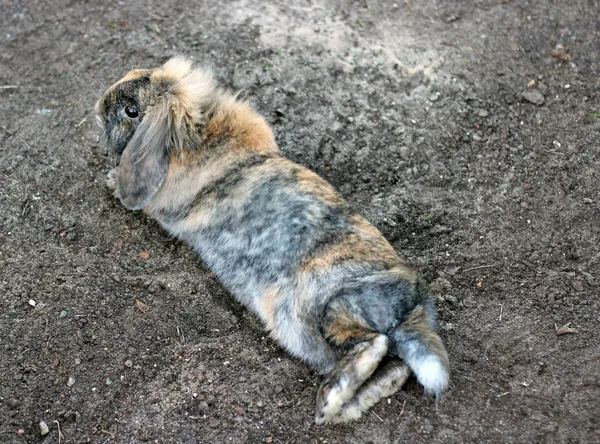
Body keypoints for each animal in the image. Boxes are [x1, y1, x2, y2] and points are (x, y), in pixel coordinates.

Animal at [95, 56, 450, 424]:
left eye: (131, 111)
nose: (99, 105)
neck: (199, 134)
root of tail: (412, 307)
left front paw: (110, 180)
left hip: (318, 309)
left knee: (372, 346)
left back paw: (326, 401)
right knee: (390, 370)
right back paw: (337, 406)